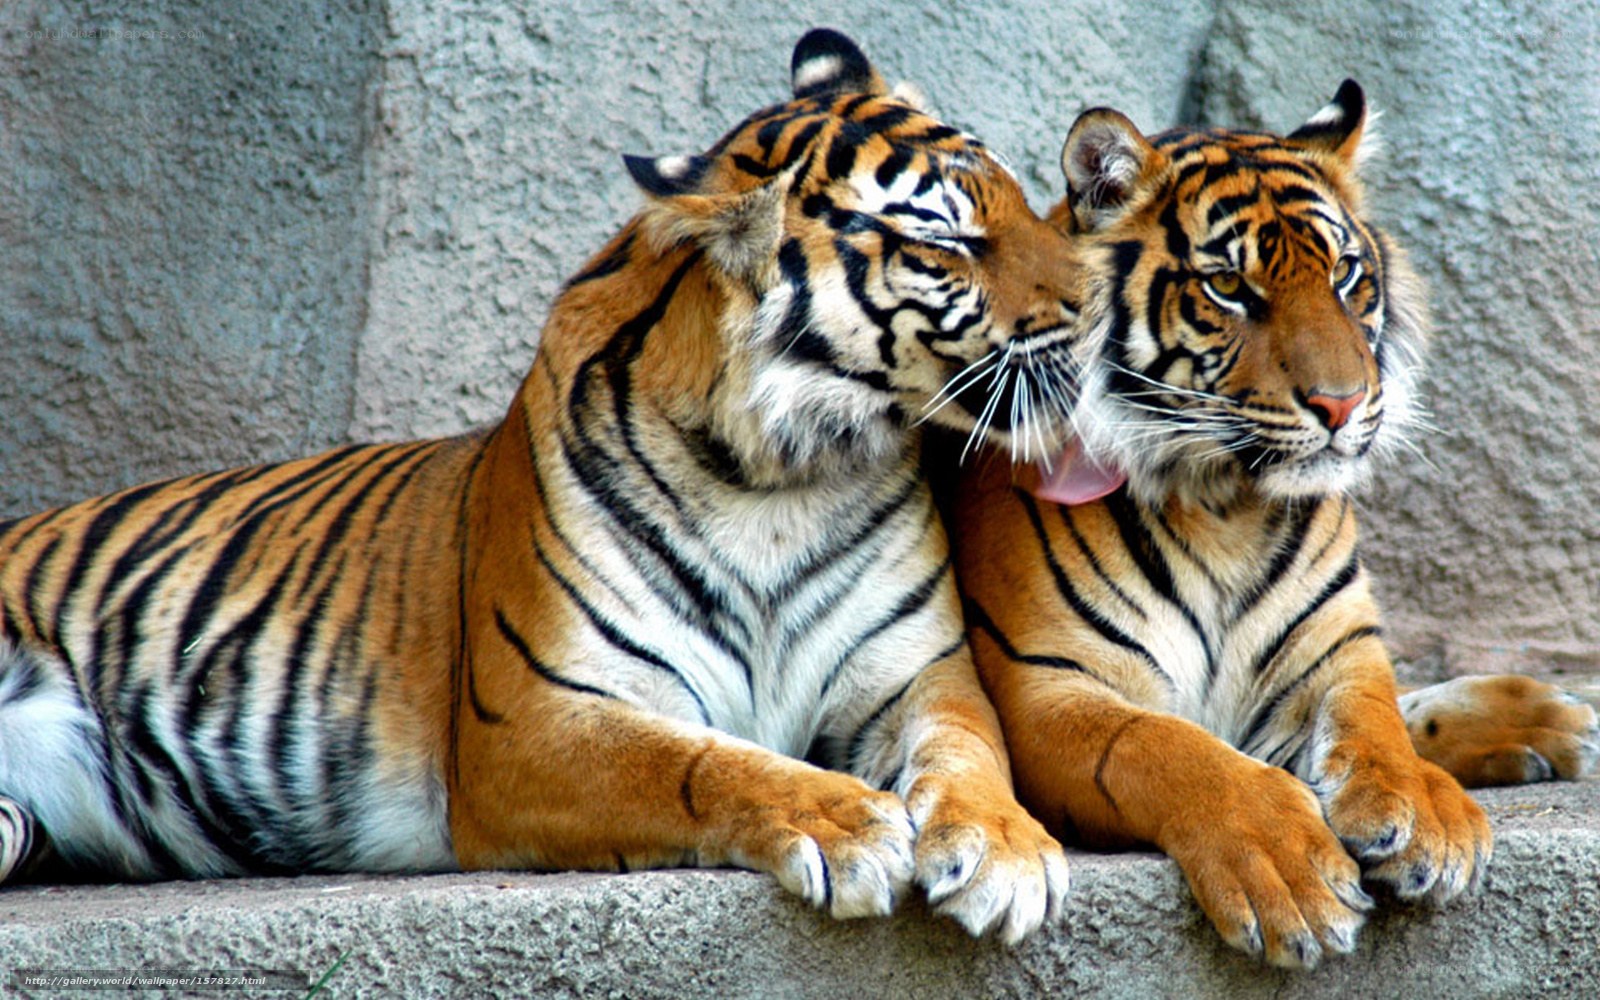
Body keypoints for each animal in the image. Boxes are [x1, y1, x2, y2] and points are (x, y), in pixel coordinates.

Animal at [0, 29, 1079, 943]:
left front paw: (1006, 853)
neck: (782, 474)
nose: (1094, 300)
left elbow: (971, 756)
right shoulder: (536, 721)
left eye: (1020, 197)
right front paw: (849, 822)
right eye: (944, 243)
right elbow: (695, 760)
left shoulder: (920, 676)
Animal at [946, 81, 1597, 969]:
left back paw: (1547, 718)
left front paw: (1421, 811)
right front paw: (1290, 868)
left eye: (1347, 276)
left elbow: (1378, 717)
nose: (1342, 404)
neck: (1228, 507)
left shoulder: (1337, 645)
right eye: (1228, 287)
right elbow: (1173, 750)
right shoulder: (1046, 690)